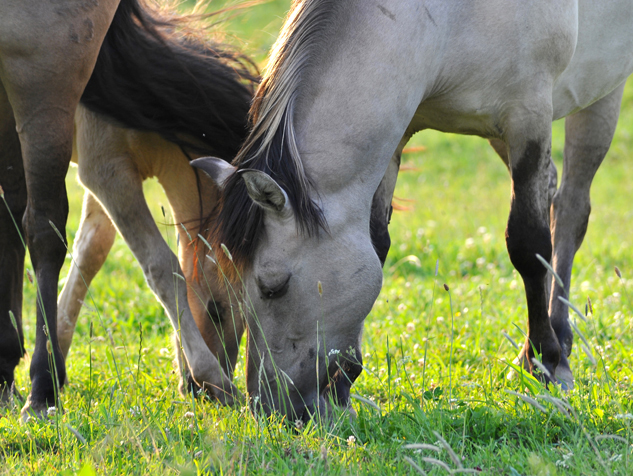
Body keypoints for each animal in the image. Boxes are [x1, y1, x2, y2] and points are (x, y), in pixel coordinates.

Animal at [193, 1, 632, 422]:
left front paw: (544, 360)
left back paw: (560, 338)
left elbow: (528, 245)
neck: (449, 19)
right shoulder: (398, 135)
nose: (268, 408)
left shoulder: (529, 117)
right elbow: (377, 244)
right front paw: (343, 386)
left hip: (600, 93)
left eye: (273, 287)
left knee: (571, 211)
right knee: (554, 192)